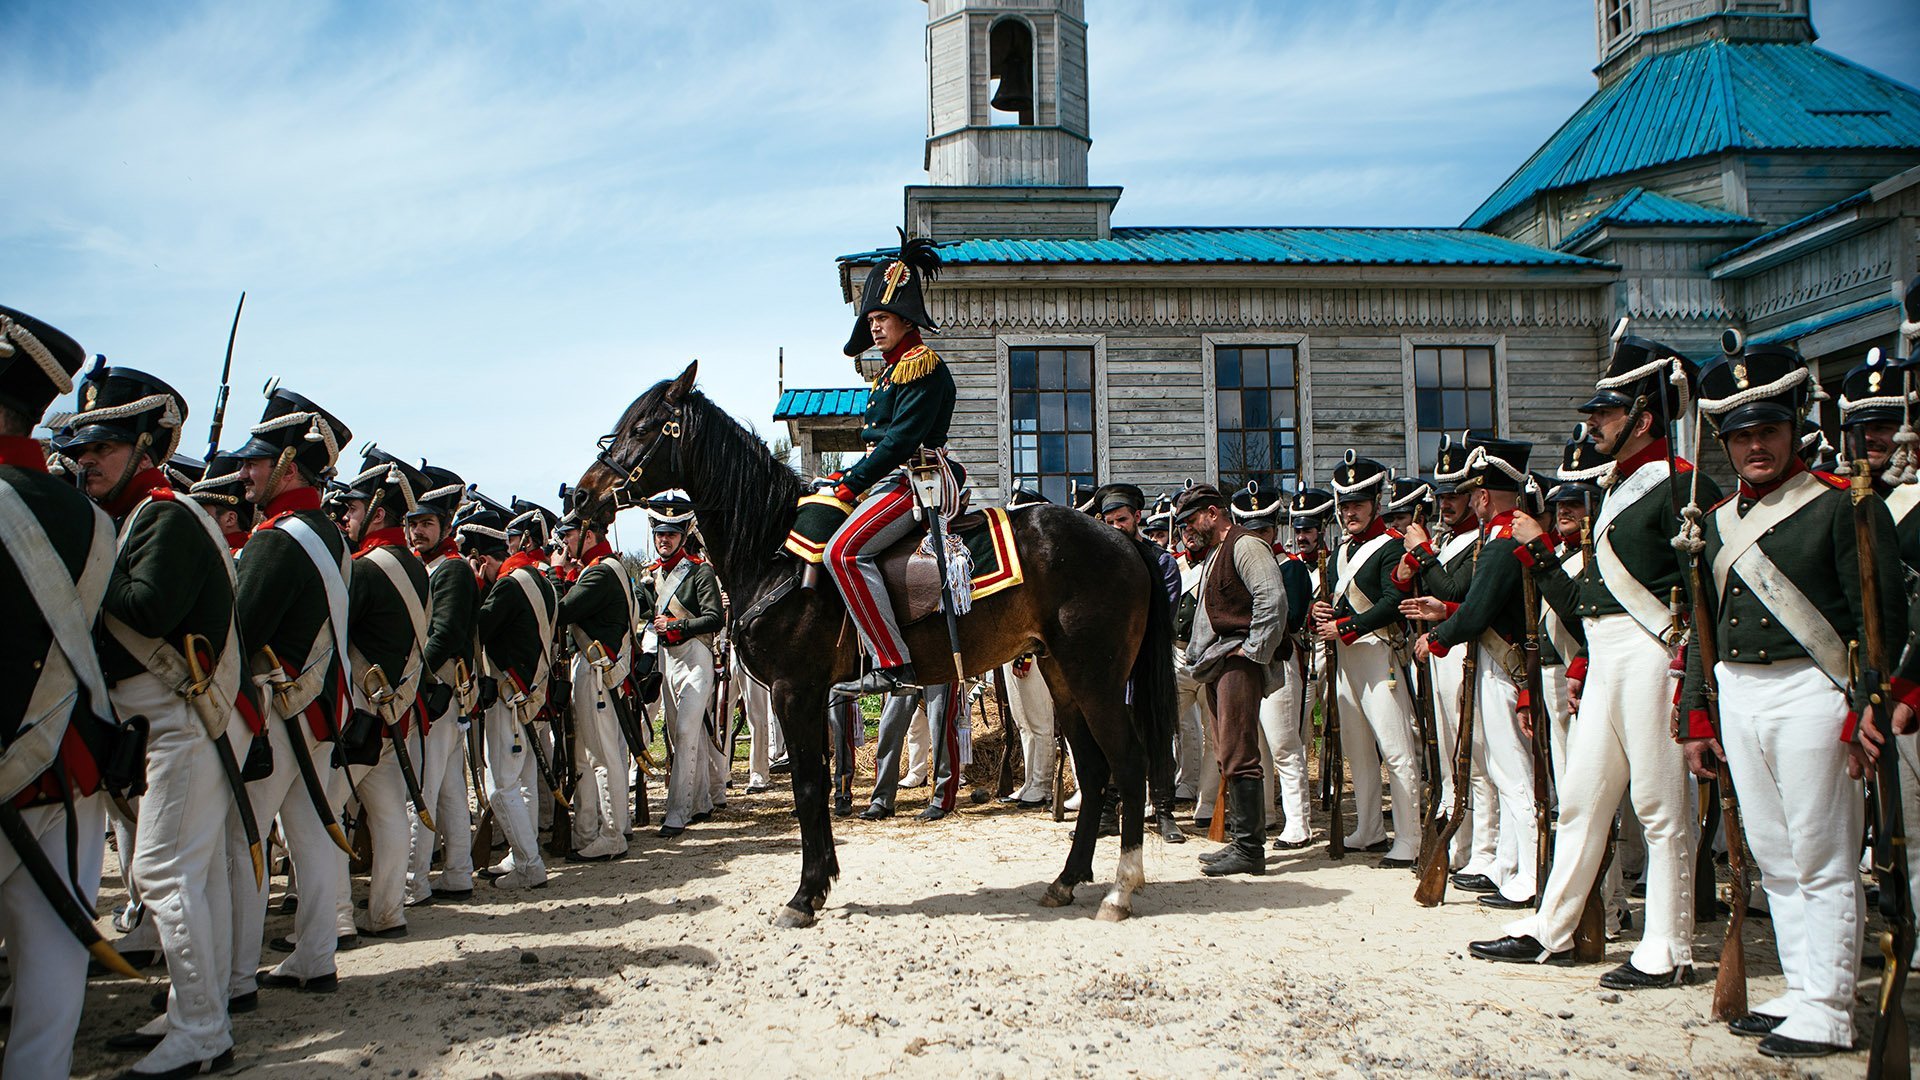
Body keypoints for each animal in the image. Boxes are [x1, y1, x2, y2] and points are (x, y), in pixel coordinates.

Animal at [572, 363, 1167, 926]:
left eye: (643, 428)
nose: (581, 494)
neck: (771, 551)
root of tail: (1122, 539)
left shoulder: (794, 691)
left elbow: (808, 787)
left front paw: (805, 895)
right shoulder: (811, 696)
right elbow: (815, 784)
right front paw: (821, 882)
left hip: (1095, 680)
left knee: (1129, 762)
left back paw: (1120, 889)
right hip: (1063, 677)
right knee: (1094, 768)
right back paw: (1067, 879)